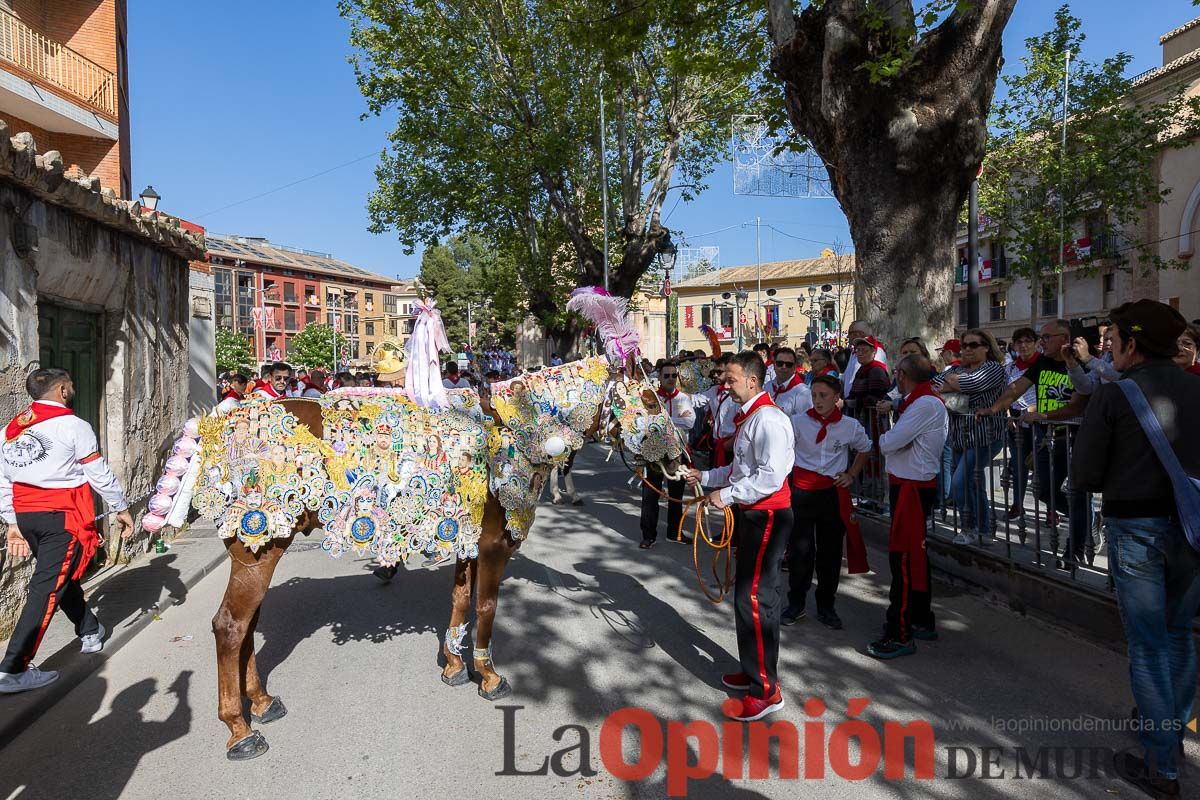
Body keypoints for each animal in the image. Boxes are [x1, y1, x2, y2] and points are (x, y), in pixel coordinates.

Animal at [145, 291, 691, 762]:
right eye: (648, 399)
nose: (681, 462)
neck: (513, 425)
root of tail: (216, 424)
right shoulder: (494, 545)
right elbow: (487, 607)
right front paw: (488, 675)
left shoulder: (469, 539)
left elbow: (459, 601)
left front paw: (453, 666)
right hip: (258, 542)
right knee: (230, 627)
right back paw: (240, 729)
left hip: (258, 547)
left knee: (248, 627)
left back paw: (261, 703)